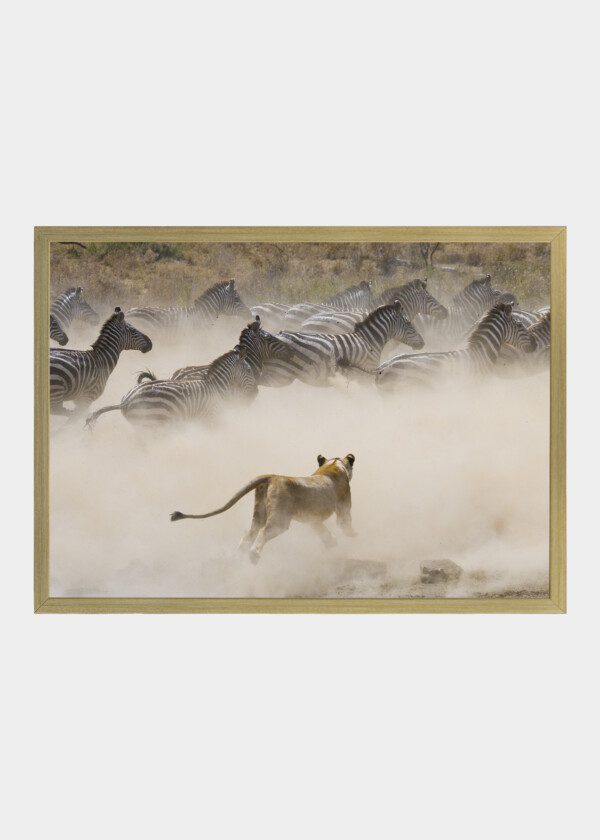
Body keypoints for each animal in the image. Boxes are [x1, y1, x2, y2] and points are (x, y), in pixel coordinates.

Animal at [85, 341, 259, 429]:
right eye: (249, 370)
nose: (256, 393)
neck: (217, 387)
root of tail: (125, 401)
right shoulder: (210, 418)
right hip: (152, 423)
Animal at [170, 453, 356, 562]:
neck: (333, 465)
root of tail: (272, 476)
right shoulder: (343, 507)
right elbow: (345, 523)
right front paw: (351, 536)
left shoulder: (312, 519)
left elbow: (322, 531)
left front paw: (331, 543)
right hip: (280, 520)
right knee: (264, 532)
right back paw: (253, 555)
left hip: (259, 513)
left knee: (249, 533)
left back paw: (240, 555)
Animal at [264, 301, 425, 387]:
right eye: (408, 323)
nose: (423, 343)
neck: (369, 341)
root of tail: (277, 334)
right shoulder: (364, 375)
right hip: (280, 373)